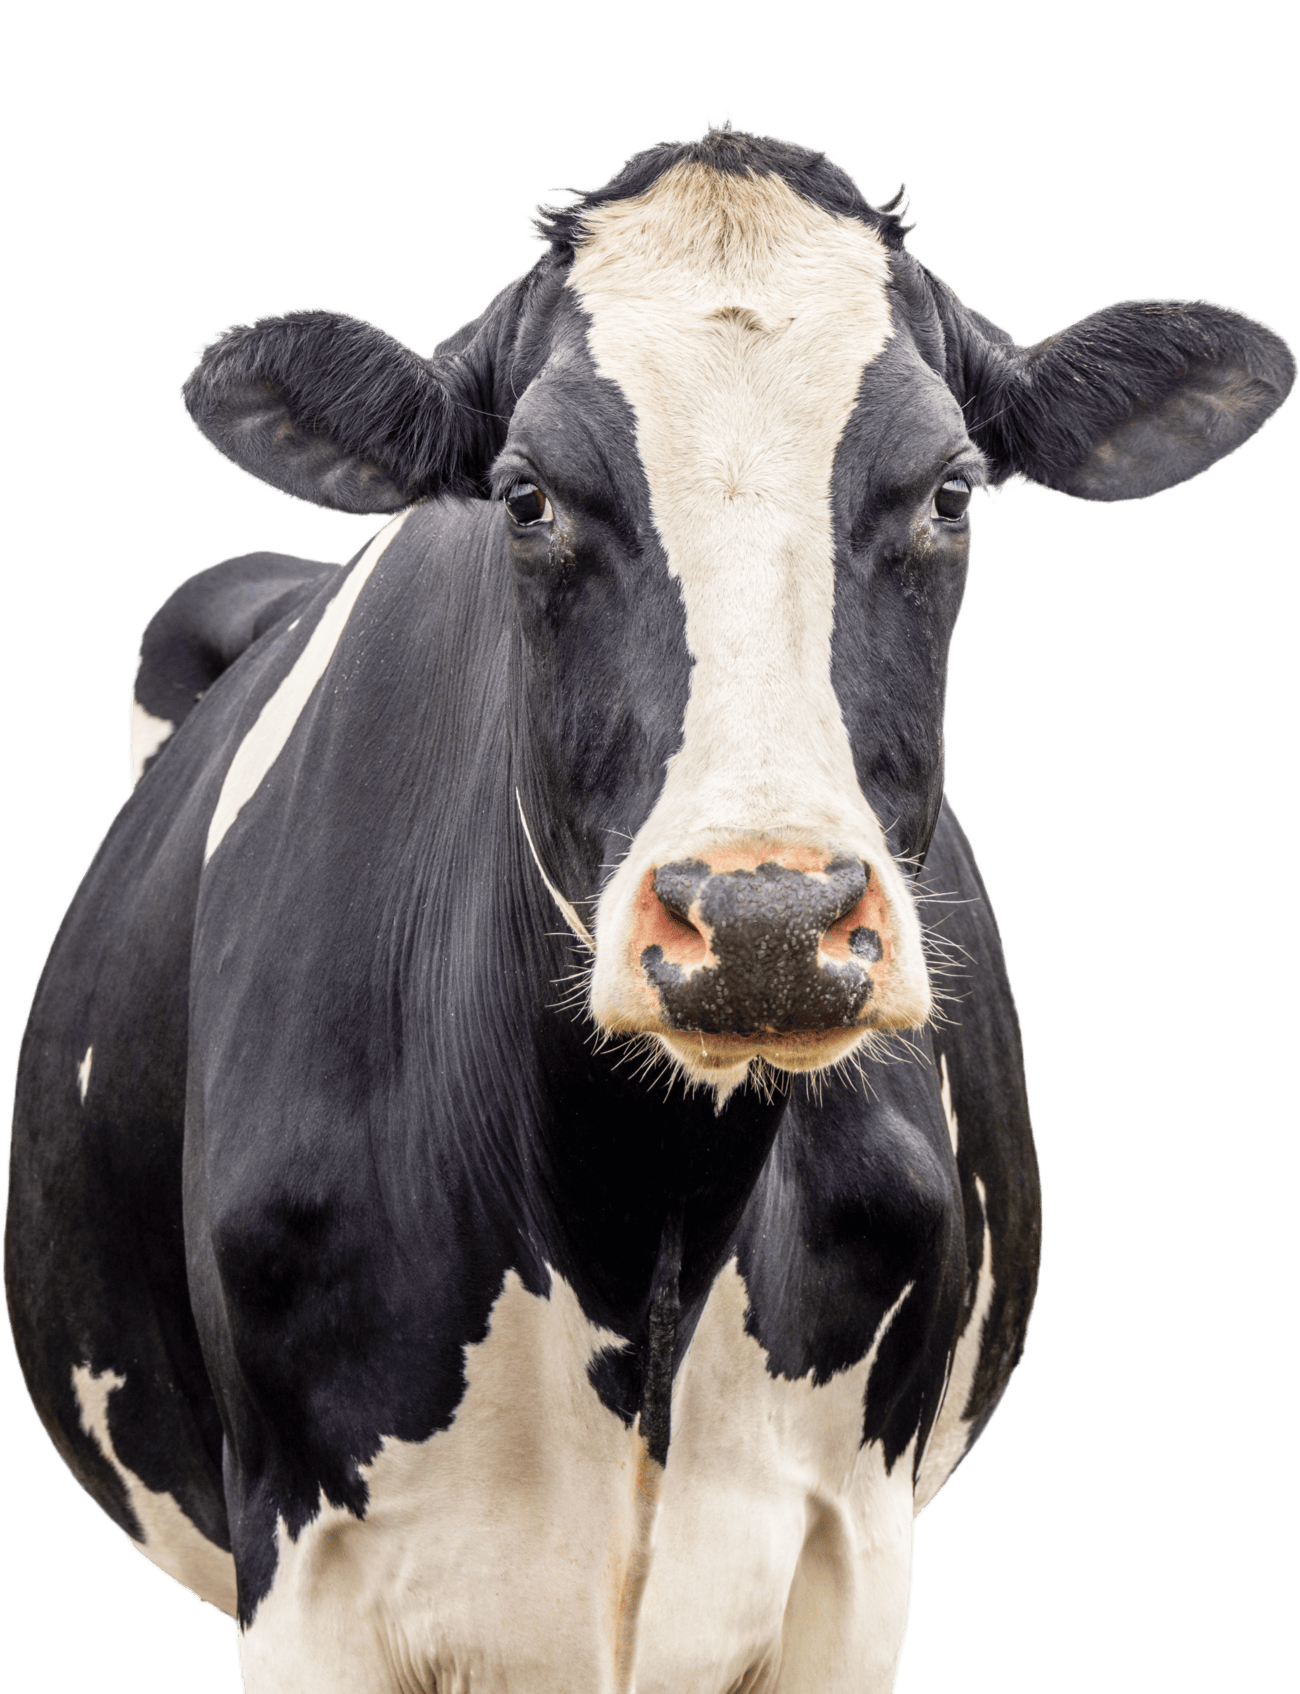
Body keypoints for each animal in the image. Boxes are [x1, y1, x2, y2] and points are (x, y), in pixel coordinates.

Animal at [5, 114, 1294, 1693]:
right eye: (527, 495)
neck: (641, 1222)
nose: (763, 925)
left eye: (947, 489)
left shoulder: (850, 1550)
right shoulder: (304, 1568)